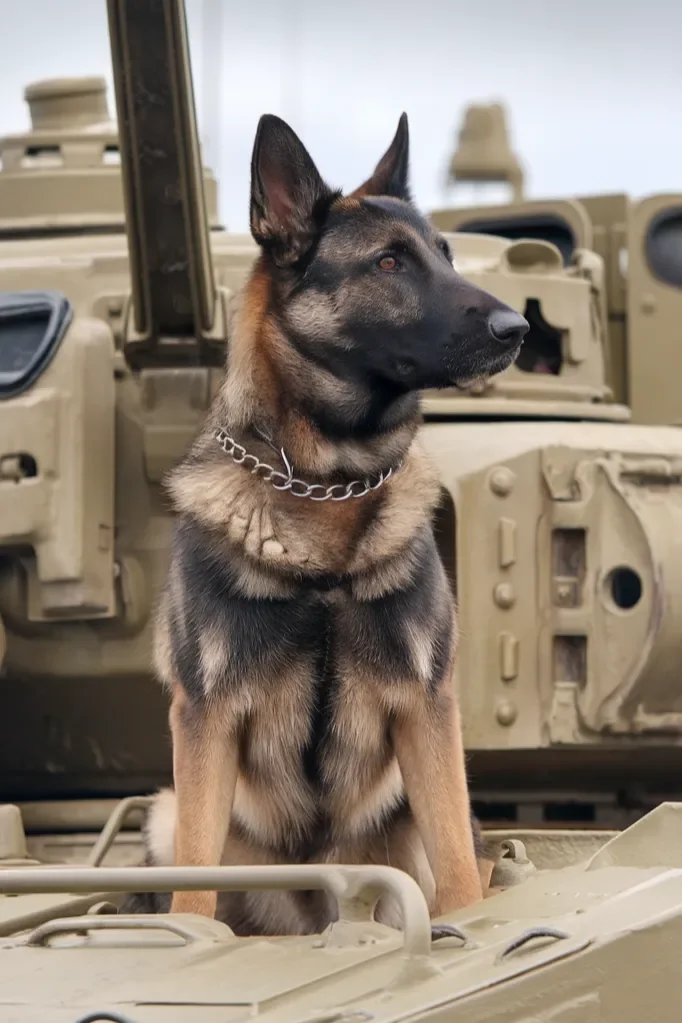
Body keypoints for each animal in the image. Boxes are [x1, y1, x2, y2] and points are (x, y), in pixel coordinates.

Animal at [124, 112, 527, 937]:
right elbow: (192, 887)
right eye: (388, 261)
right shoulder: (205, 718)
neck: (327, 484)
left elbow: (459, 872)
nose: (520, 326)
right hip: (164, 809)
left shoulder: (427, 707)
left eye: (445, 254)